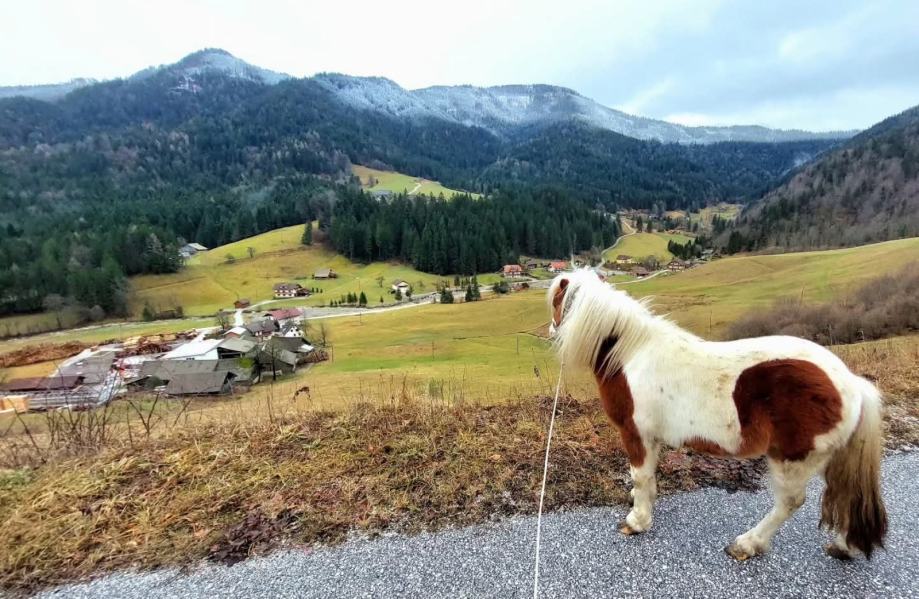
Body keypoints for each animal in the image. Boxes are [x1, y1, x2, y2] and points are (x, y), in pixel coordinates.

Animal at [547, 269, 887, 560]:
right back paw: (843, 546)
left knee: (790, 502)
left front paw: (637, 521)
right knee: (845, 494)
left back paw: (747, 544)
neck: (632, 355)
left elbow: (641, 476)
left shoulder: (636, 433)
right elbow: (648, 477)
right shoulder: (651, 437)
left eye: (555, 301)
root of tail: (851, 383)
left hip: (792, 459)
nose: (551, 329)